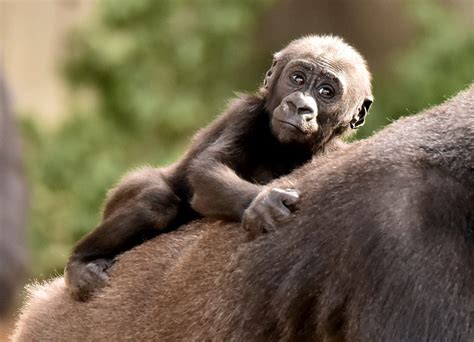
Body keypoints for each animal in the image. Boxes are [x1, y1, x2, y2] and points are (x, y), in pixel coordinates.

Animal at [65, 36, 374, 300]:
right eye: (297, 78)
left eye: (326, 92)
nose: (299, 105)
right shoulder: (246, 113)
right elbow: (207, 170)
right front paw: (263, 202)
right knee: (155, 201)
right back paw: (80, 260)